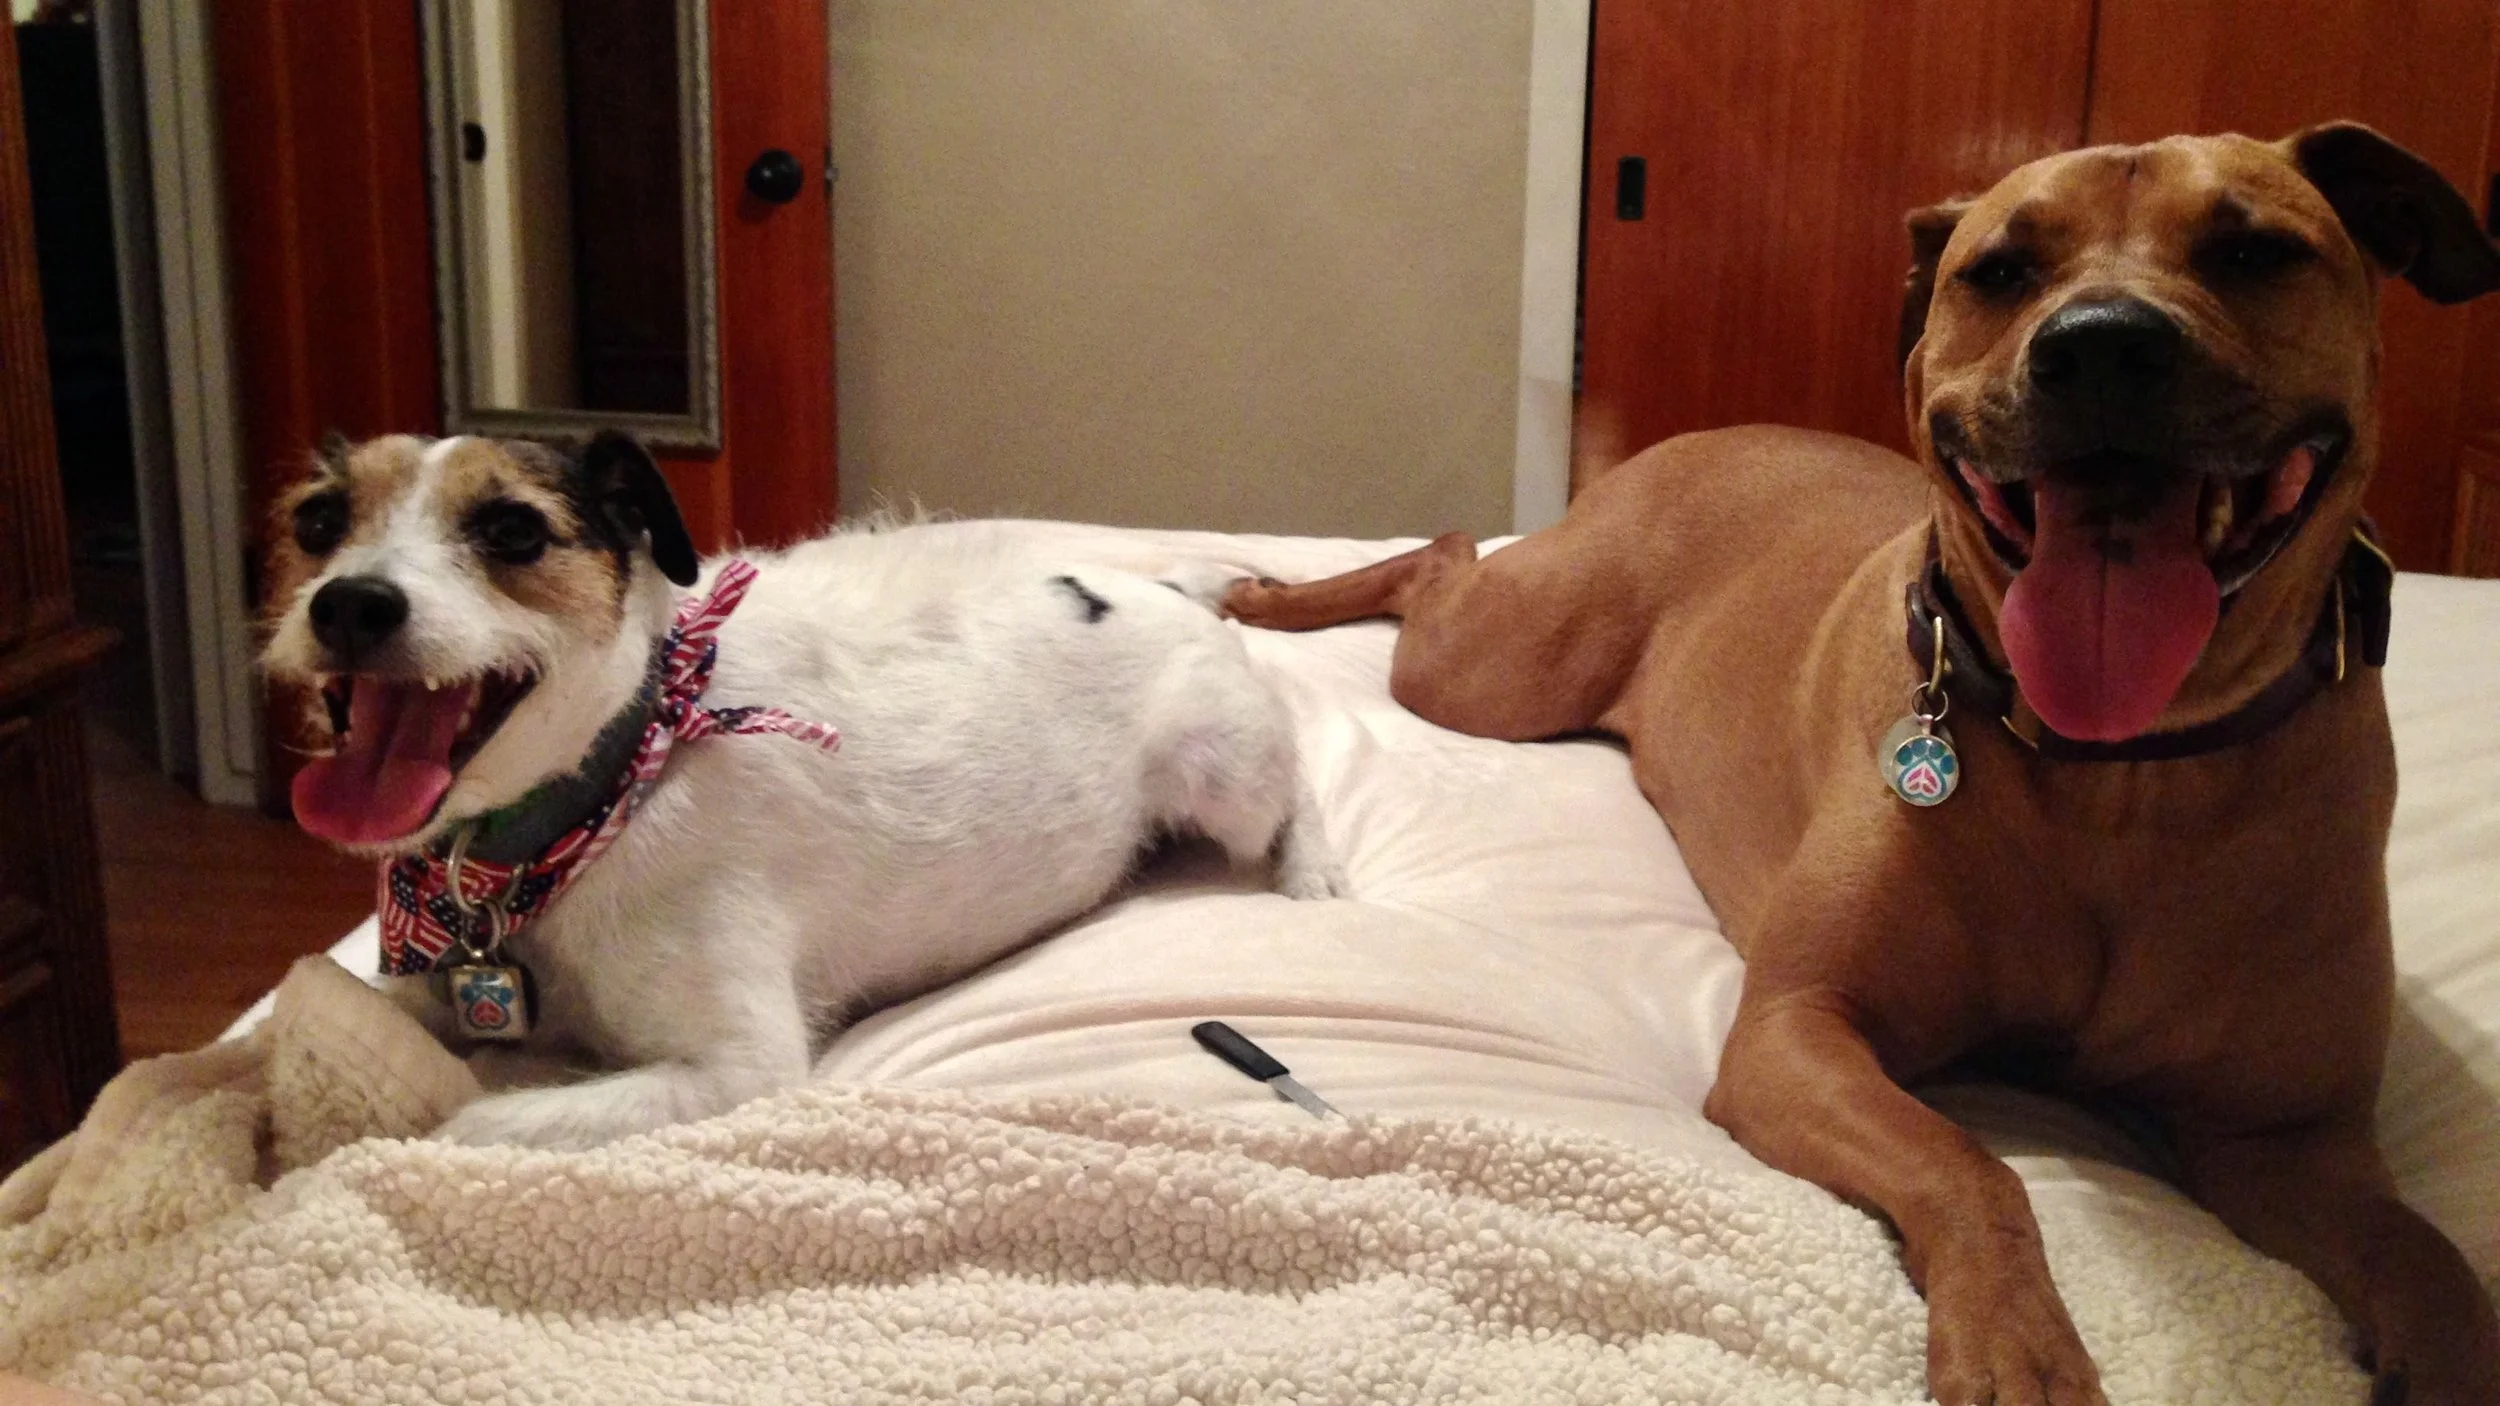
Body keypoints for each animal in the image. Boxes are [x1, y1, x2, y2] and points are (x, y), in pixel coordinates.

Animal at [262, 431, 1342, 1150]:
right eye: (316, 521)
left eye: (513, 530)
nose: (349, 604)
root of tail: (1163, 584)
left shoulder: (736, 1070)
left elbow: (466, 1120)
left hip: (1224, 770)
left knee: (1294, 776)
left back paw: (1314, 871)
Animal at [1225, 123, 2500, 1405]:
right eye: (2000, 270)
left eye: (2252, 249)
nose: (2100, 345)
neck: (2121, 773)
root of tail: (1706, 433)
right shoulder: (1798, 1029)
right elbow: (1968, 1160)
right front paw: (2018, 1340)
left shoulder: (2287, 1139)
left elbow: (2432, 1262)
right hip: (1502, 667)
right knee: (1436, 557)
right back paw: (1268, 594)